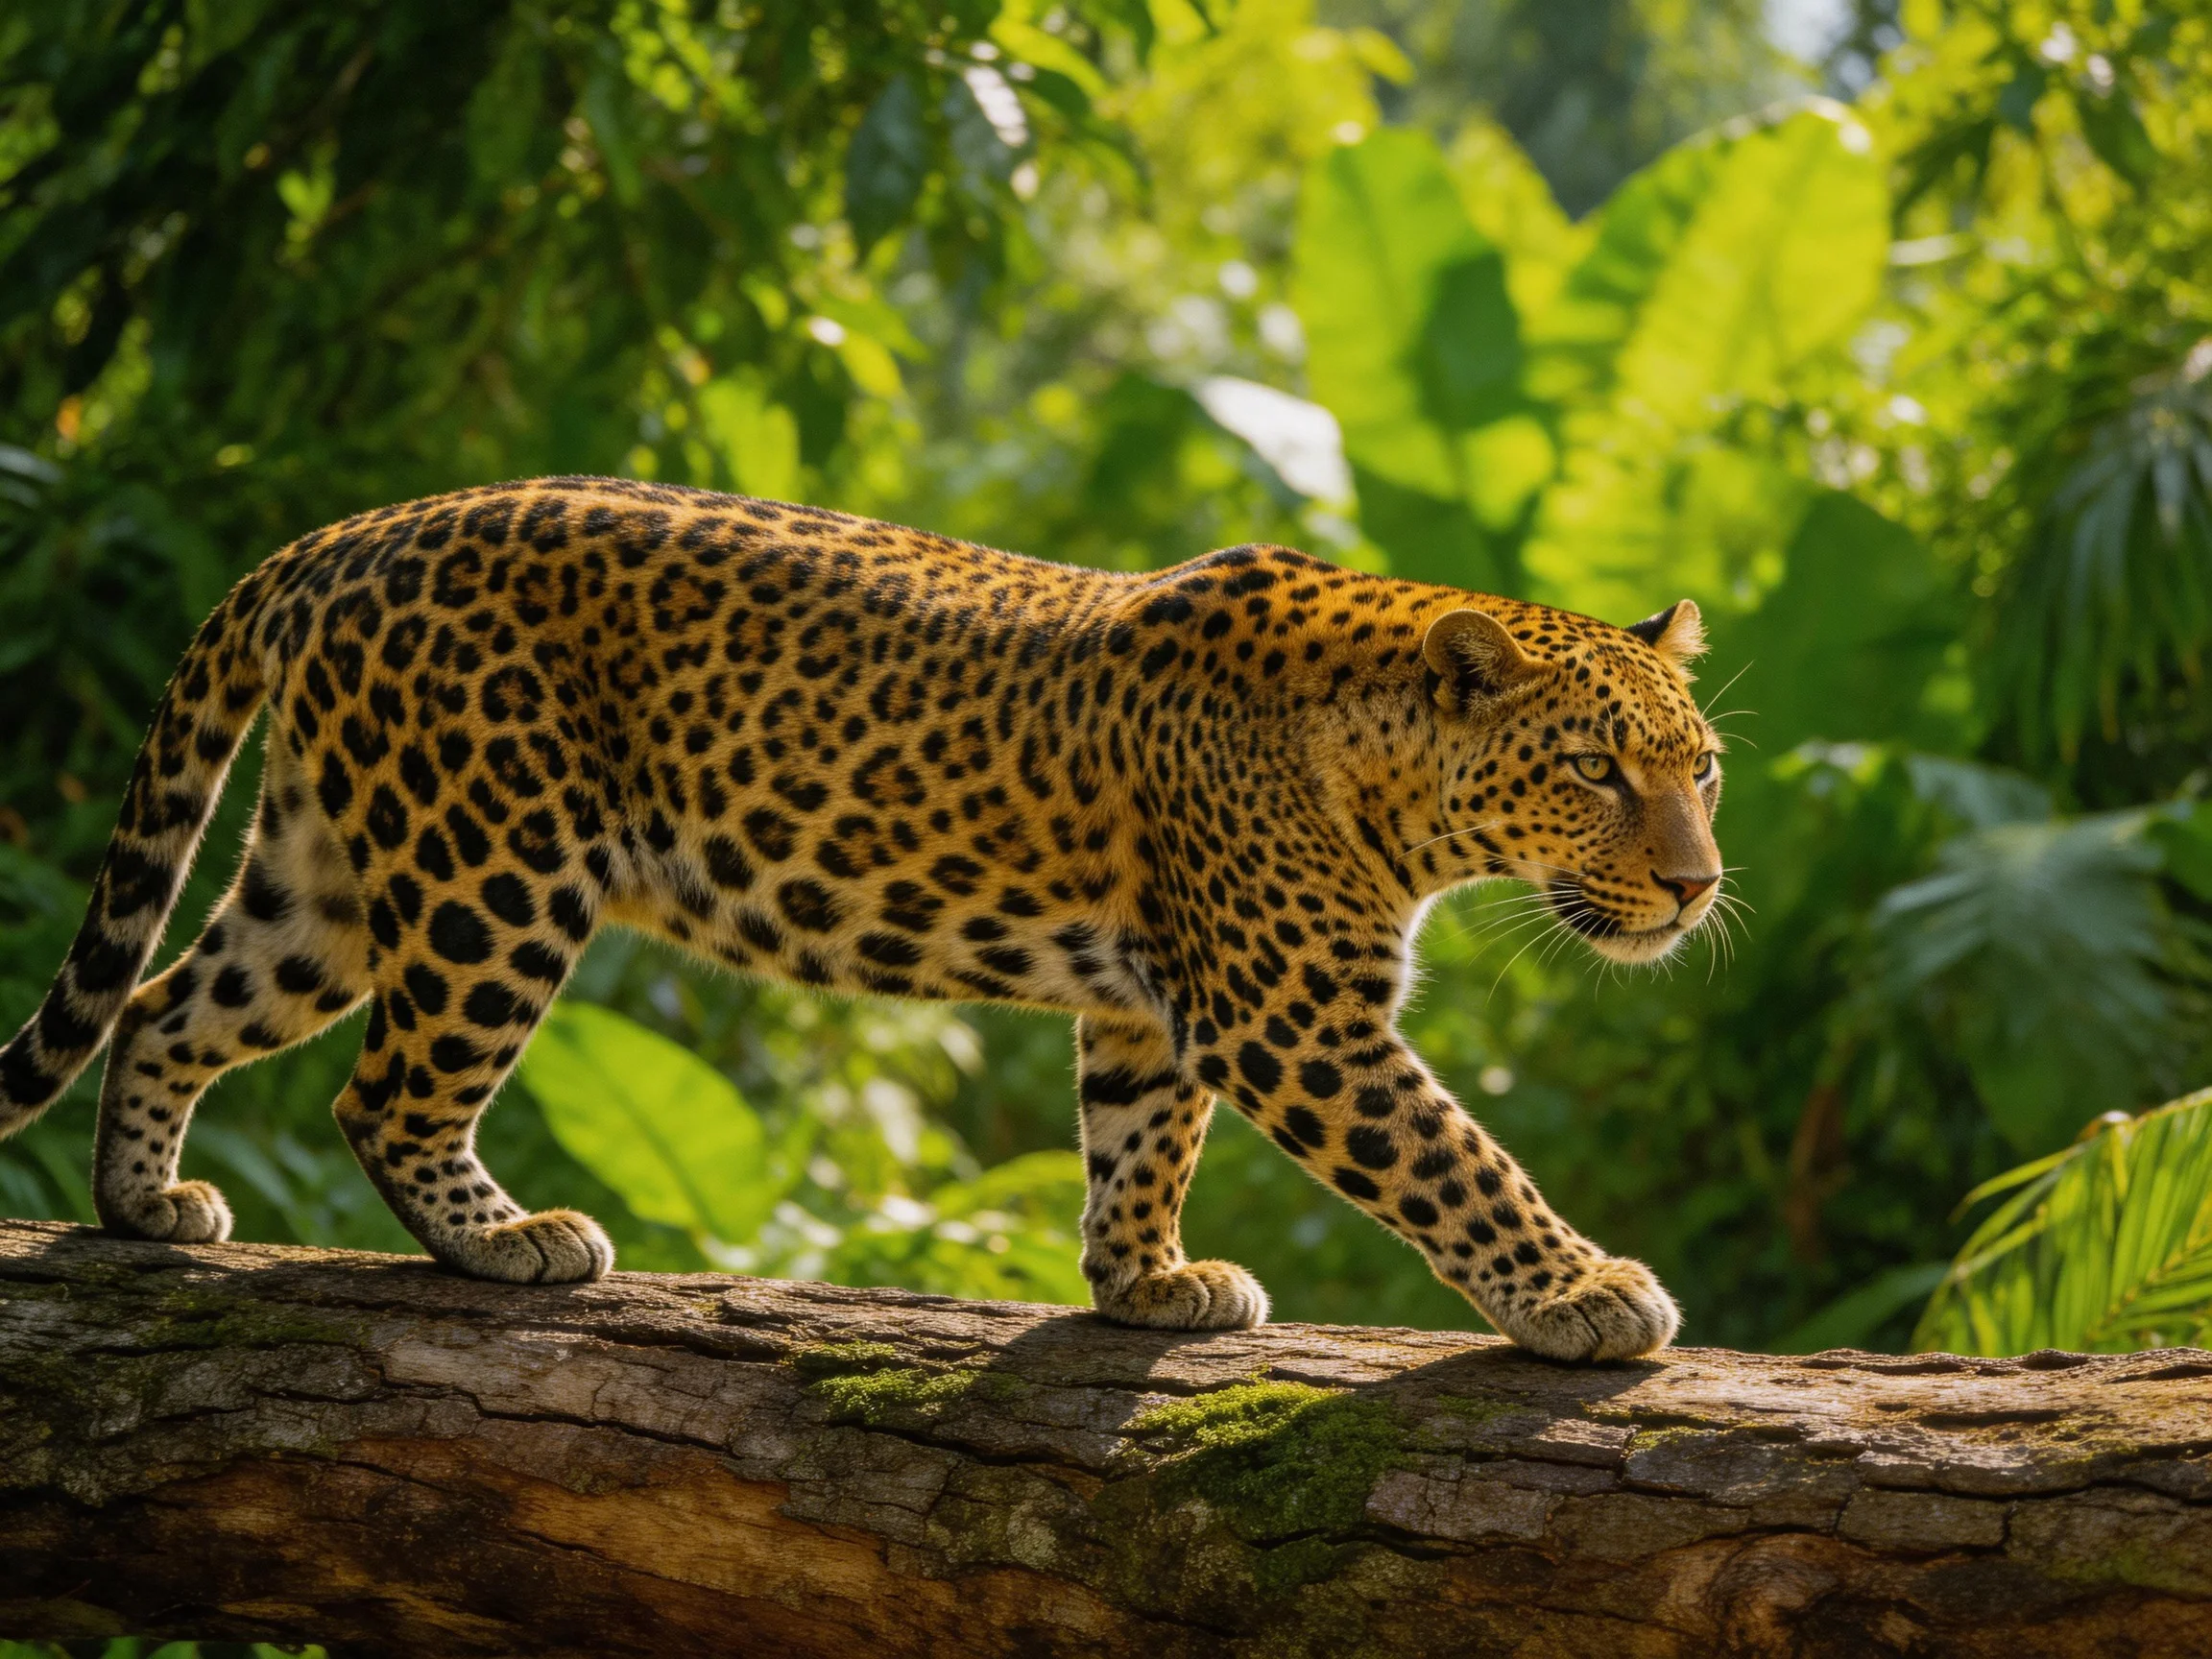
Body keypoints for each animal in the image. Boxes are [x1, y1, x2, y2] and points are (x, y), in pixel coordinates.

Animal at [0, 476, 1725, 1362]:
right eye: (1594, 770)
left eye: (1699, 768)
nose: (1699, 883)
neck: (1394, 781)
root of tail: (338, 539)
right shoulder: (1293, 1018)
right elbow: (1455, 1159)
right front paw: (1585, 1294)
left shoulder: (1149, 1005)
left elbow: (1136, 1142)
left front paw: (1145, 1280)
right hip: (493, 869)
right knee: (384, 1091)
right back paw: (510, 1241)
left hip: (331, 877)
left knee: (164, 1003)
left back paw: (144, 1205)